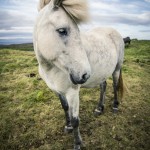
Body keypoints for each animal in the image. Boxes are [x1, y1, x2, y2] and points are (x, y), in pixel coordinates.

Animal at [33, 0, 124, 149]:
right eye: (62, 31)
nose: (85, 75)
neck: (52, 69)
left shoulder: (73, 93)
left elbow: (76, 119)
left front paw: (77, 143)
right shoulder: (58, 91)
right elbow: (65, 108)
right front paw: (68, 126)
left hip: (116, 69)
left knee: (115, 85)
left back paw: (115, 106)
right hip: (102, 73)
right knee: (103, 86)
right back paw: (99, 108)